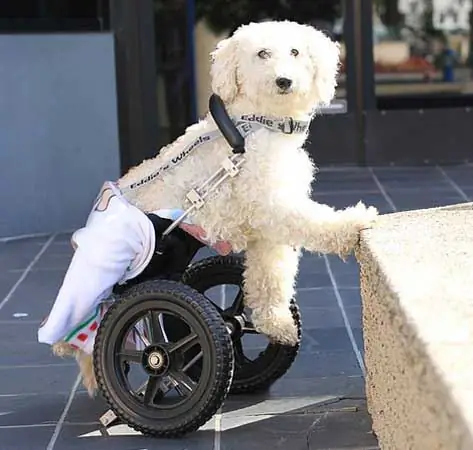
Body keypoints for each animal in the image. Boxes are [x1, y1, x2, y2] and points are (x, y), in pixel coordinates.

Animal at [39, 21, 380, 394]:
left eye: (295, 52)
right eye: (262, 53)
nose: (284, 81)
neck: (258, 124)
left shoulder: (266, 229)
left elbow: (269, 277)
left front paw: (276, 323)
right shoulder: (274, 205)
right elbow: (314, 223)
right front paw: (355, 222)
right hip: (107, 268)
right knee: (86, 332)